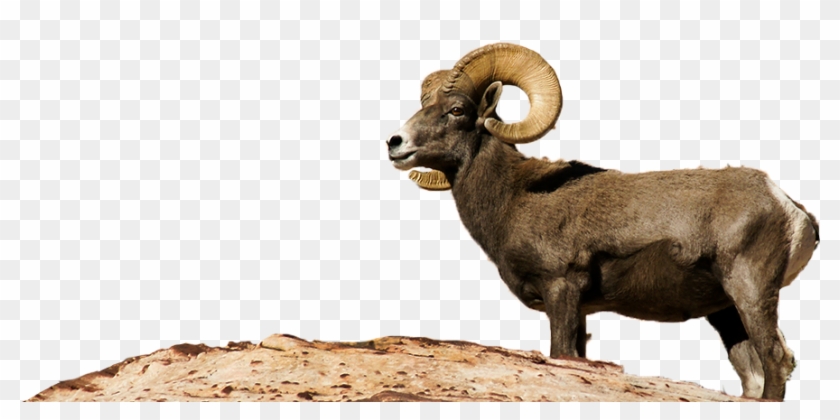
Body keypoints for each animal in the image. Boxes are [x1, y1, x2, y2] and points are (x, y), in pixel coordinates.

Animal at [385, 43, 820, 401]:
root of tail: (789, 207)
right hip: (725, 311)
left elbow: (560, 353)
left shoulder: (561, 288)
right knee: (753, 376)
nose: (395, 143)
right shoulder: (580, 309)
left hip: (749, 291)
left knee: (777, 359)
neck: (514, 196)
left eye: (457, 110)